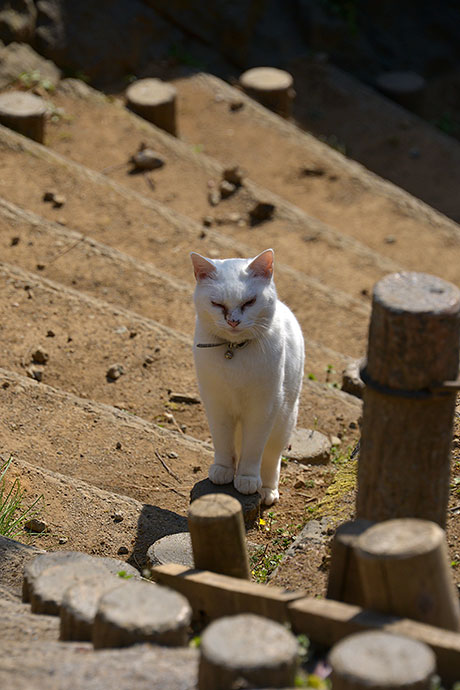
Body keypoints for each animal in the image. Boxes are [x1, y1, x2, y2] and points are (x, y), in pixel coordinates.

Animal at [189, 249, 304, 506]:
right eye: (217, 304)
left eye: (249, 302)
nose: (233, 321)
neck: (234, 350)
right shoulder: (216, 404)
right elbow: (223, 442)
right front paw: (223, 470)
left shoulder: (263, 409)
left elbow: (253, 451)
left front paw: (247, 480)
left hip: (284, 420)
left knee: (271, 458)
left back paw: (267, 490)